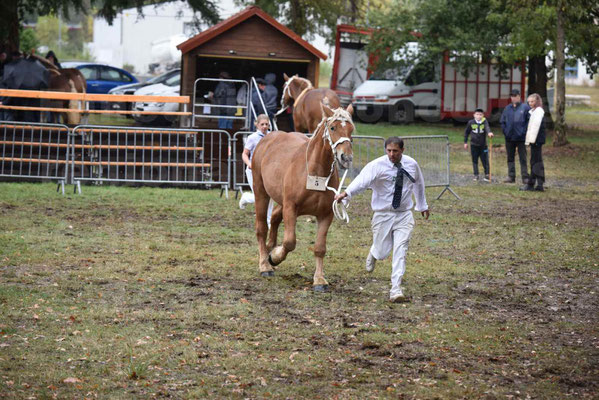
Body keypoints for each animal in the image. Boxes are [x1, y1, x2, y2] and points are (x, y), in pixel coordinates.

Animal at [251, 103, 354, 290]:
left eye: (351, 129)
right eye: (333, 127)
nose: (346, 157)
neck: (315, 173)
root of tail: (268, 138)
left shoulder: (326, 214)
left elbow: (320, 248)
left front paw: (319, 279)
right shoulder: (290, 207)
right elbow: (289, 242)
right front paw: (274, 257)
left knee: (275, 217)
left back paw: (270, 248)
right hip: (260, 192)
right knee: (261, 228)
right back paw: (265, 264)